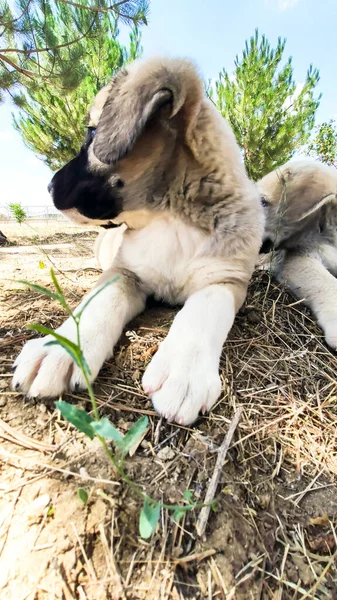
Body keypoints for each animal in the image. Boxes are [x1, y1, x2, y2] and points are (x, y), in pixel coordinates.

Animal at [13, 56, 262, 424]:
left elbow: (204, 309)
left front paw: (184, 370)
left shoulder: (225, 281)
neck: (170, 219)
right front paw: (60, 348)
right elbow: (99, 301)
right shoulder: (123, 271)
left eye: (92, 132)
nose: (48, 187)